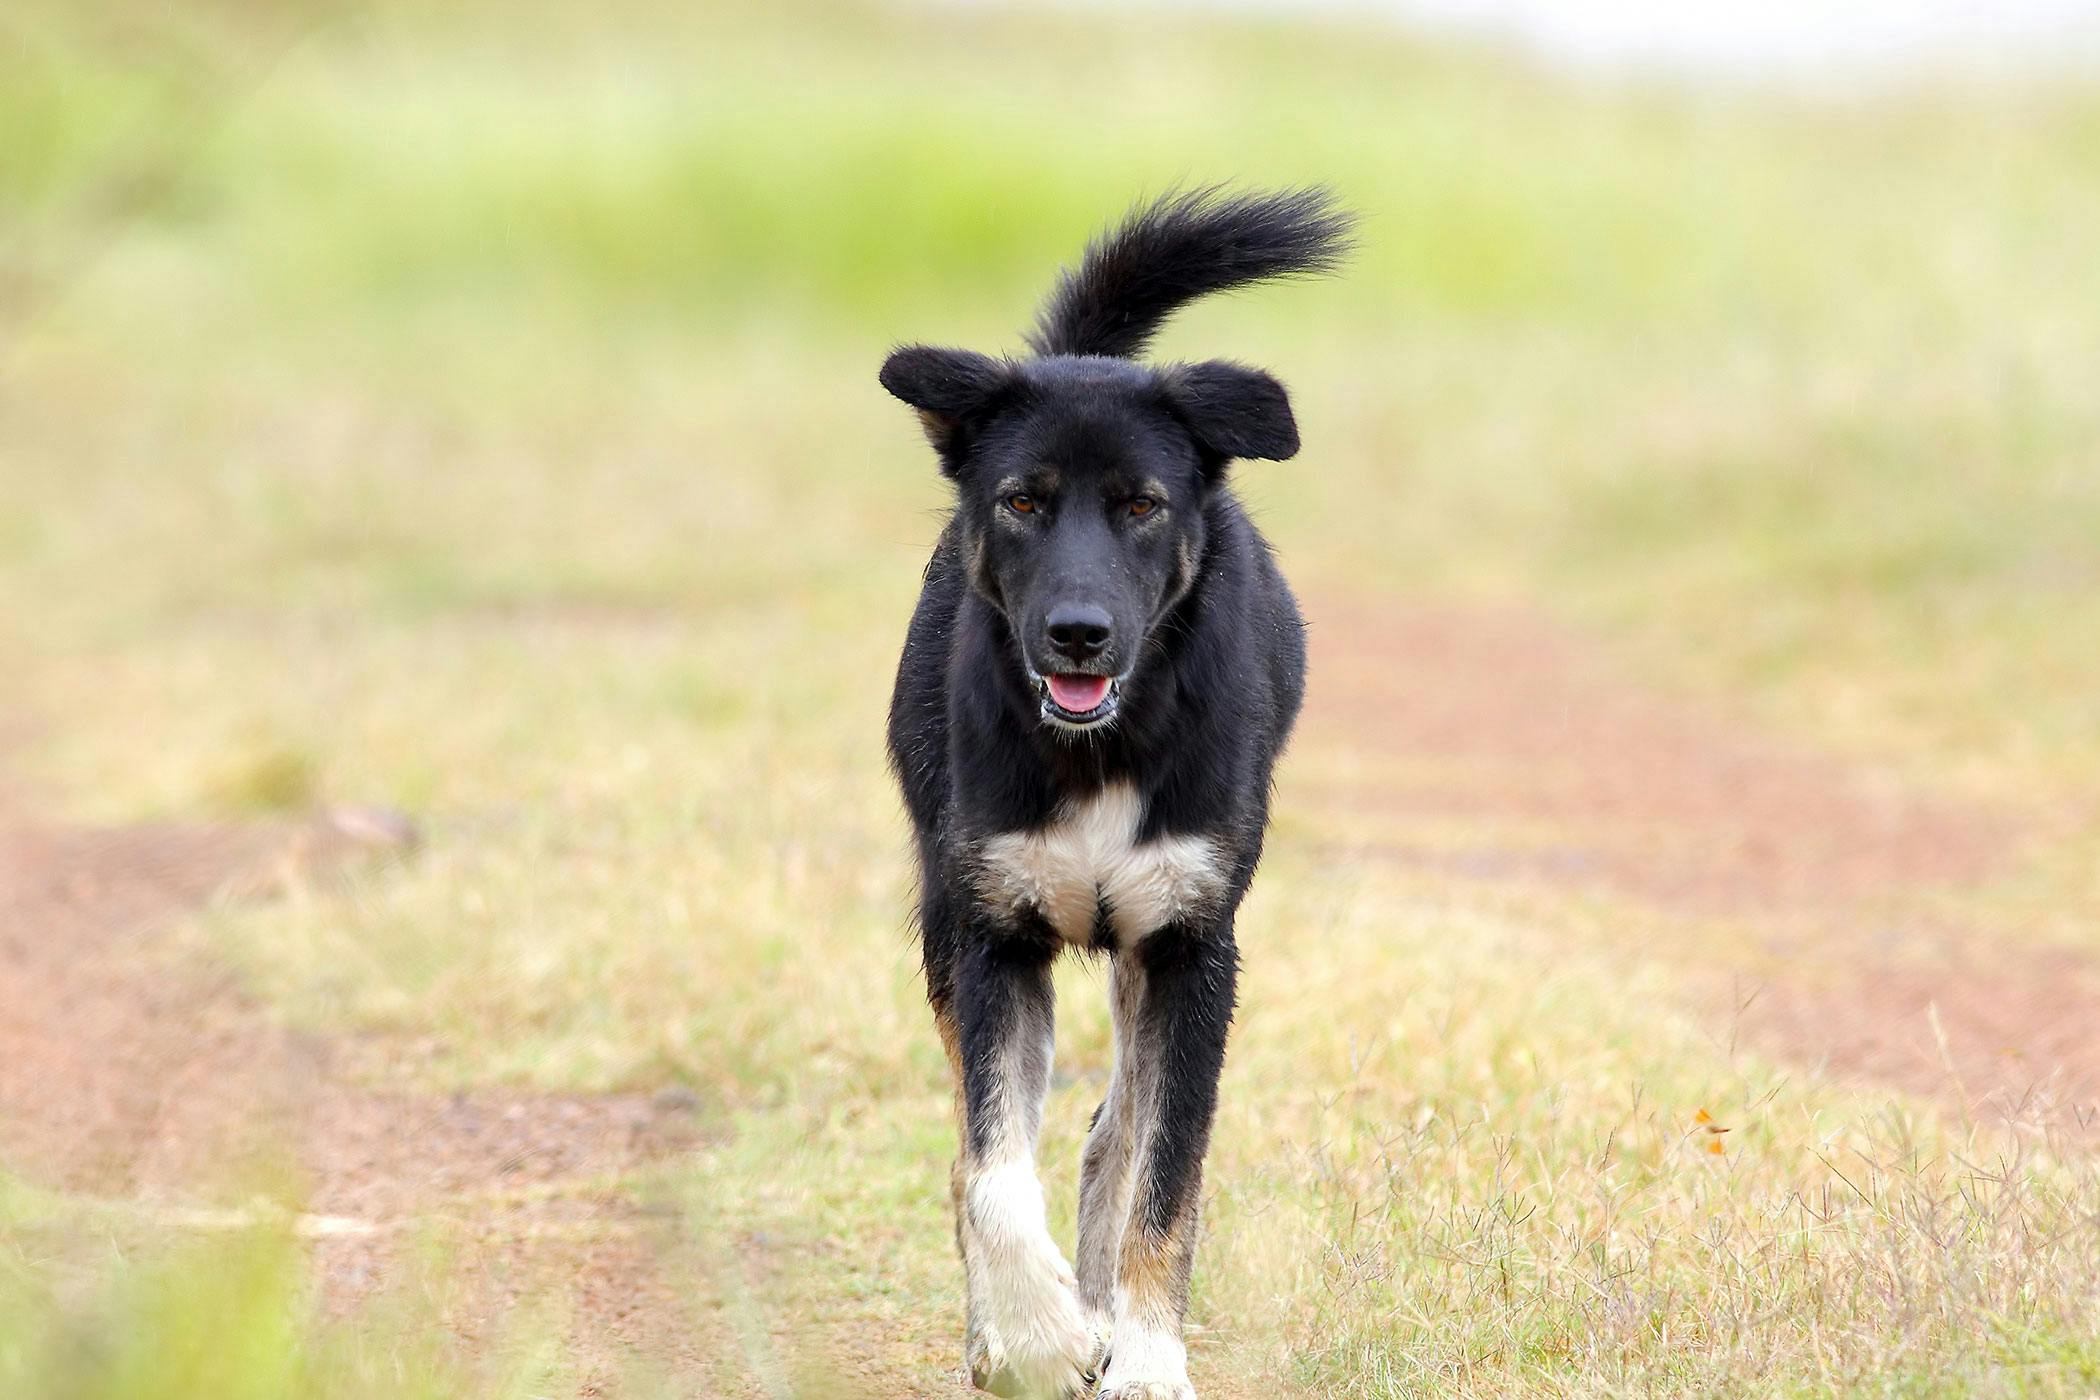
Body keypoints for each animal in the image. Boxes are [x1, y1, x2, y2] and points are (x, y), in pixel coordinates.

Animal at [881, 188, 1344, 1400]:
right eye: (1021, 501)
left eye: (1142, 505)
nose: (1078, 632)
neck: (1103, 745)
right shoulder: (991, 935)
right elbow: (993, 1166)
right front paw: (1039, 1333)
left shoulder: (1193, 949)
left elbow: (1164, 1185)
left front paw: (1139, 1354)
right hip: (946, 924)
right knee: (979, 1152)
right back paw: (1006, 1330)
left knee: (1110, 1135)